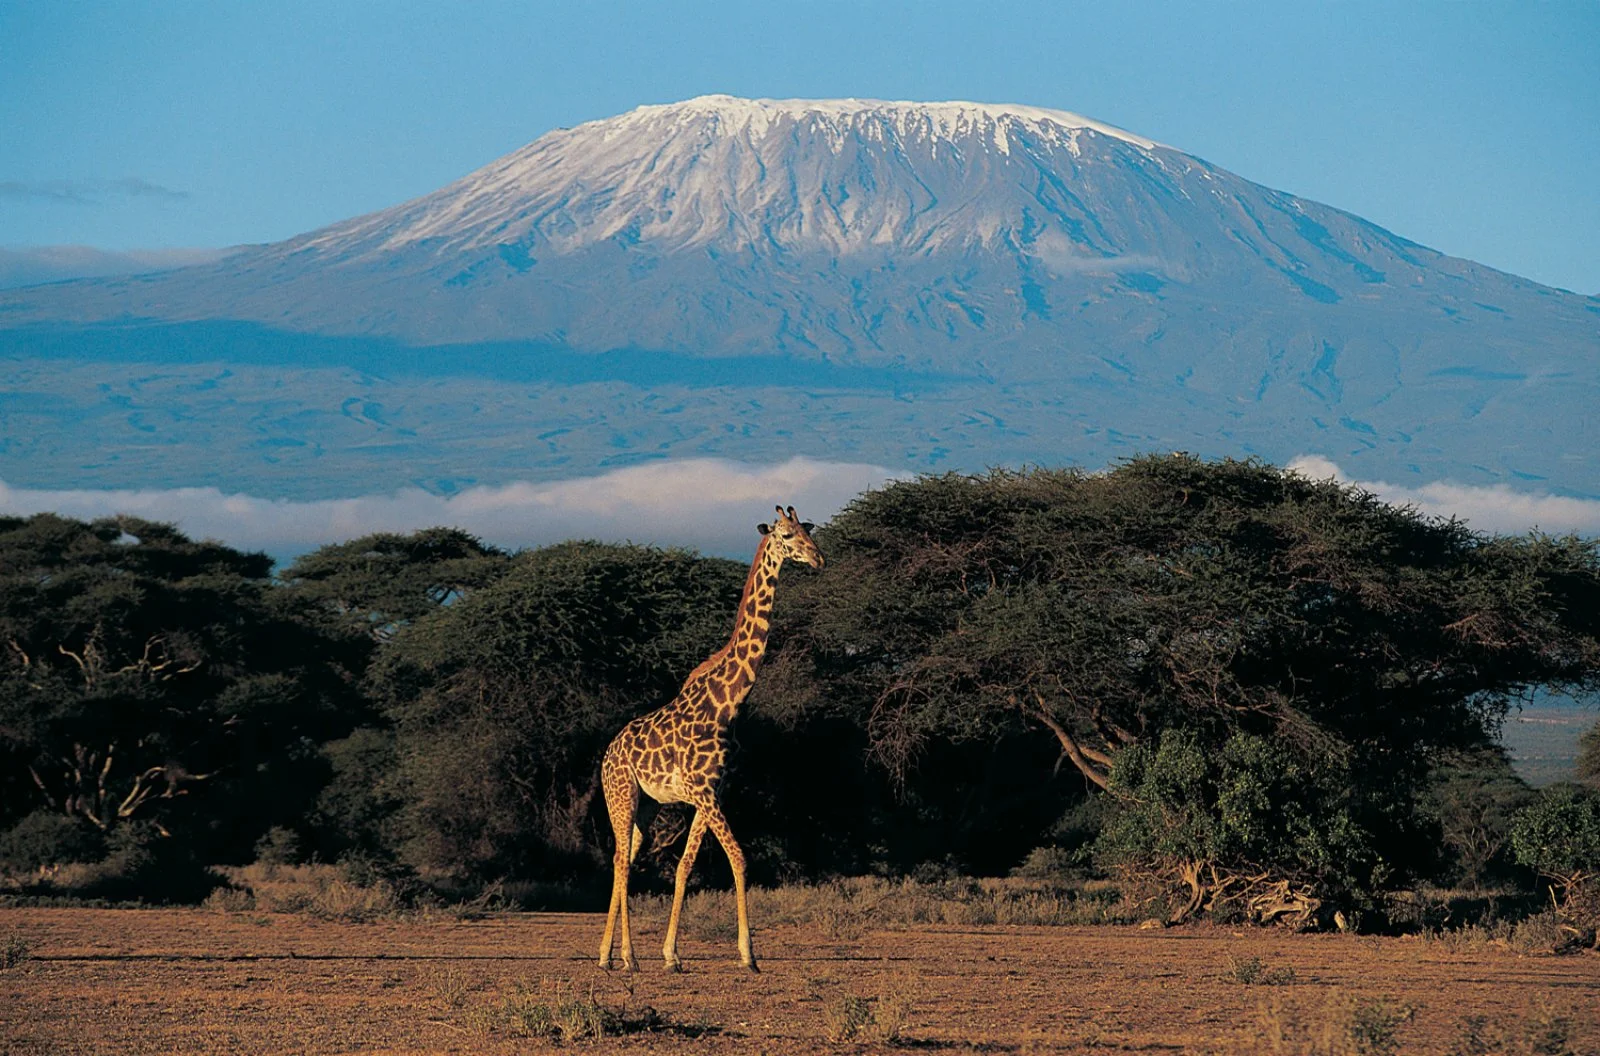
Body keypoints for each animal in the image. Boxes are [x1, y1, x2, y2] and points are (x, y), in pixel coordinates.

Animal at [601, 505, 825, 972]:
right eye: (785, 535)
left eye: (807, 530)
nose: (817, 559)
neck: (729, 702)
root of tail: (607, 755)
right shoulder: (704, 792)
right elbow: (739, 857)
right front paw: (748, 955)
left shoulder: (713, 792)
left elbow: (685, 866)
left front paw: (671, 955)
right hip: (621, 794)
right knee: (620, 861)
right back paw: (627, 956)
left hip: (647, 806)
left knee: (624, 859)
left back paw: (605, 955)